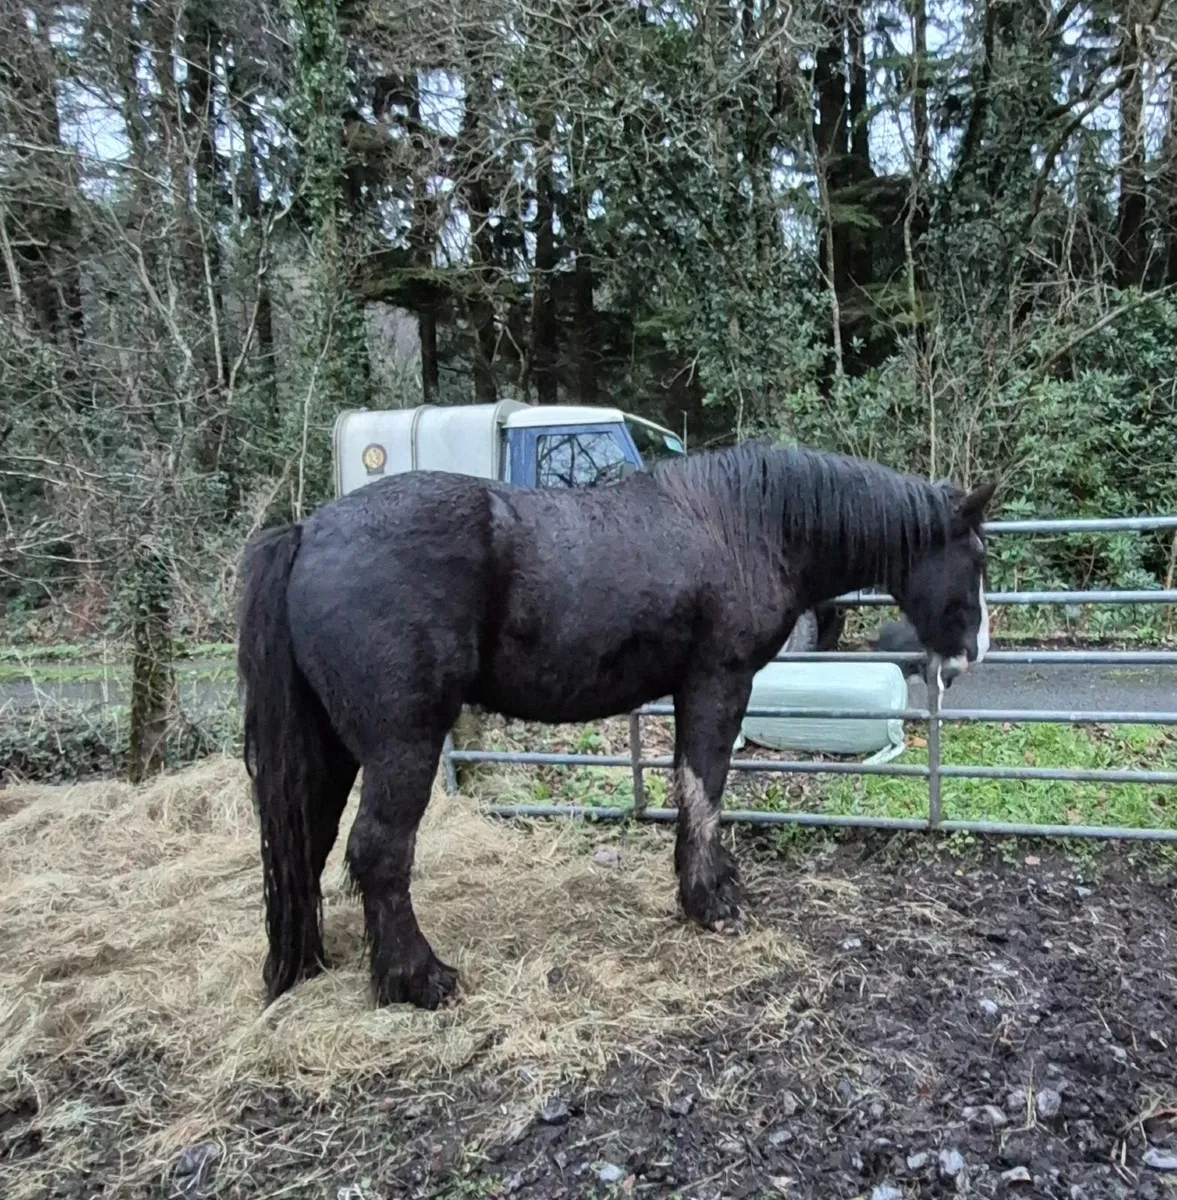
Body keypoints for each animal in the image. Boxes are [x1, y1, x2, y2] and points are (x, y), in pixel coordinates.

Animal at [237, 441, 995, 1010]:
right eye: (979, 558)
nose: (974, 654)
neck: (746, 525)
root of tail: (307, 533)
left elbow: (692, 787)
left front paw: (713, 885)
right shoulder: (718, 682)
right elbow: (704, 786)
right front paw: (710, 901)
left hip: (333, 748)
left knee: (310, 840)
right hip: (404, 744)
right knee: (378, 851)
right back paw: (418, 979)